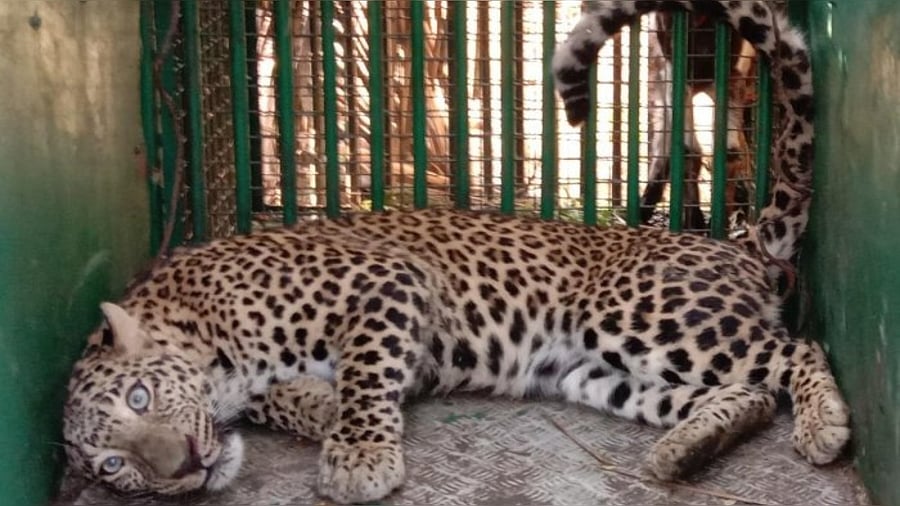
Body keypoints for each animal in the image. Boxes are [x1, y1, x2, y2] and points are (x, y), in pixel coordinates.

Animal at [62, 1, 847, 504]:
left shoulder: (386, 283)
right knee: (745, 393)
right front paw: (316, 412)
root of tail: (738, 244)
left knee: (797, 351)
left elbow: (364, 376)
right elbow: (293, 401)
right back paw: (686, 450)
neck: (201, 333)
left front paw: (359, 455)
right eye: (113, 465)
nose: (186, 468)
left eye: (139, 396)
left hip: (634, 314)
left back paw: (824, 427)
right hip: (590, 373)